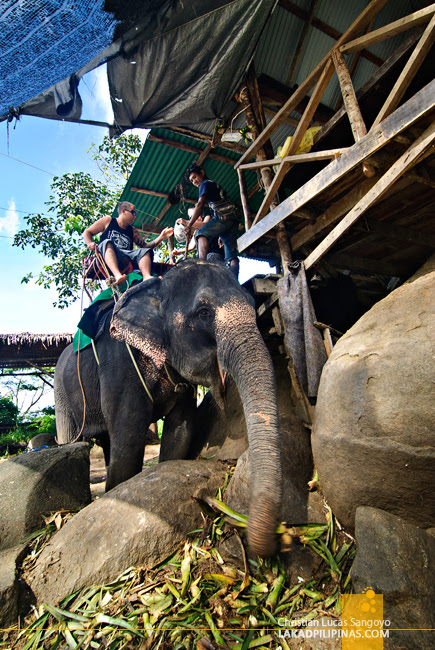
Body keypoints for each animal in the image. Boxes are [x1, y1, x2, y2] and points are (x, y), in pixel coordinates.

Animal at [54, 260, 282, 556]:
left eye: (253, 304)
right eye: (204, 312)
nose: (275, 541)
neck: (158, 285)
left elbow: (180, 432)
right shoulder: (119, 362)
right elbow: (129, 437)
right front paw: (115, 494)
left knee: (105, 442)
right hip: (62, 395)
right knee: (74, 442)